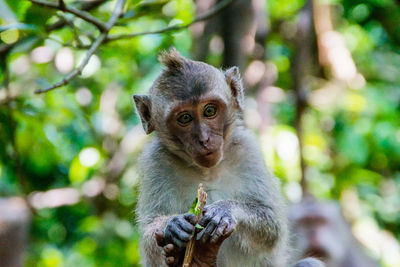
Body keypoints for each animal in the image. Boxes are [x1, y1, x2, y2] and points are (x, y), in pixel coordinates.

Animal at [133, 48, 324, 267]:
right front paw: (172, 226)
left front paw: (225, 210)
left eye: (209, 110)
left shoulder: (248, 150)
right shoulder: (154, 162)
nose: (204, 139)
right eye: (185, 118)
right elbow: (149, 238)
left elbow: (273, 225)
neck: (206, 170)